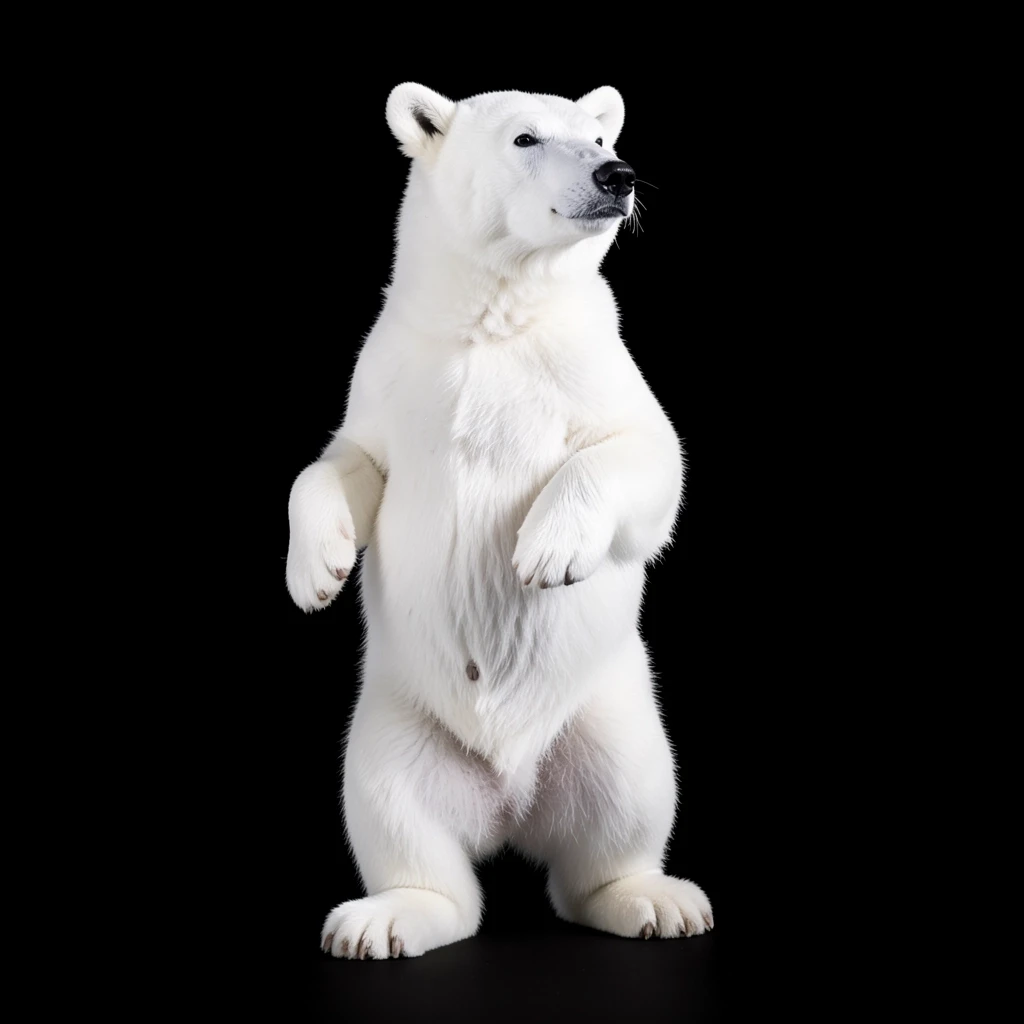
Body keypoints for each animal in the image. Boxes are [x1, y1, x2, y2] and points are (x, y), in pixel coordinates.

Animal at [286, 82, 712, 959]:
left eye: (598, 136)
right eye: (526, 138)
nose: (619, 175)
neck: (496, 316)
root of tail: (511, 803)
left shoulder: (592, 367)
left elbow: (650, 459)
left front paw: (547, 550)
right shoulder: (394, 370)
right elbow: (345, 462)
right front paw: (316, 570)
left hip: (611, 716)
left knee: (626, 805)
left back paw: (651, 898)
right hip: (395, 725)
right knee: (397, 817)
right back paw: (383, 917)